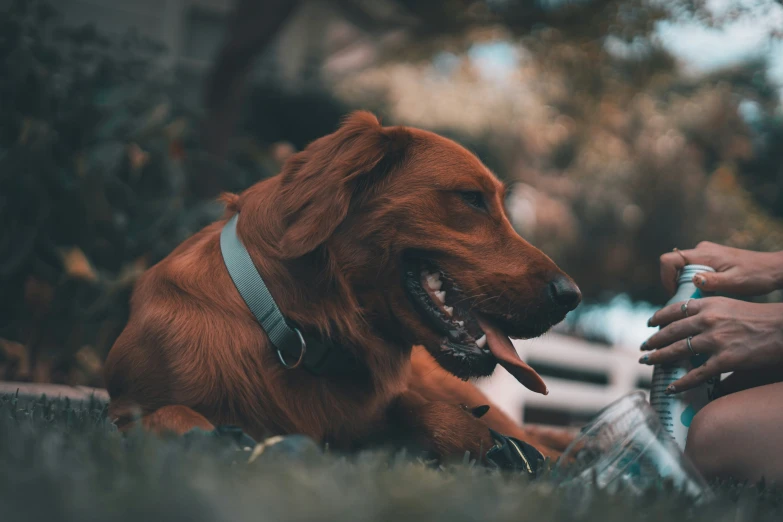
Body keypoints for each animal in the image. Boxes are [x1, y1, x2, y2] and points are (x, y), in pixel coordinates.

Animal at [104, 111, 580, 462]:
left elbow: (434, 417)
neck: (292, 329)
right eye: (471, 198)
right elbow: (173, 415)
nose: (570, 296)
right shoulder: (120, 410)